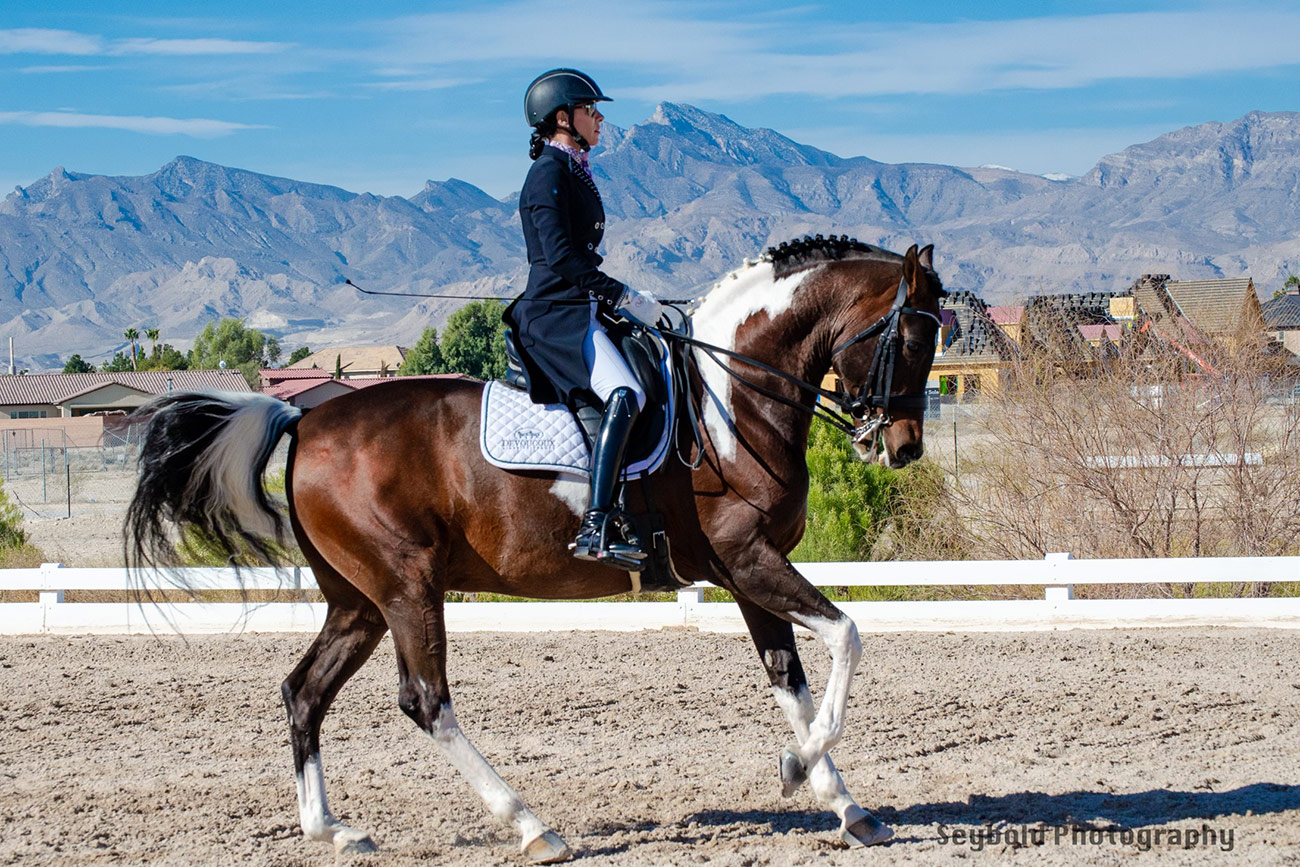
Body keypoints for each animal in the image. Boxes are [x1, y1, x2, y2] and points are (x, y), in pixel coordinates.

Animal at [124, 235, 946, 863]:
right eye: (910, 338)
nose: (902, 446)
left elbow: (792, 685)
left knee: (304, 692)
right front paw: (799, 770)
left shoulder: (746, 575)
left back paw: (333, 829)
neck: (731, 396)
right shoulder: (748, 560)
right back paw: (531, 826)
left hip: (358, 600)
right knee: (425, 701)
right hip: (406, 585)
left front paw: (846, 804)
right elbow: (848, 636)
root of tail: (304, 417)